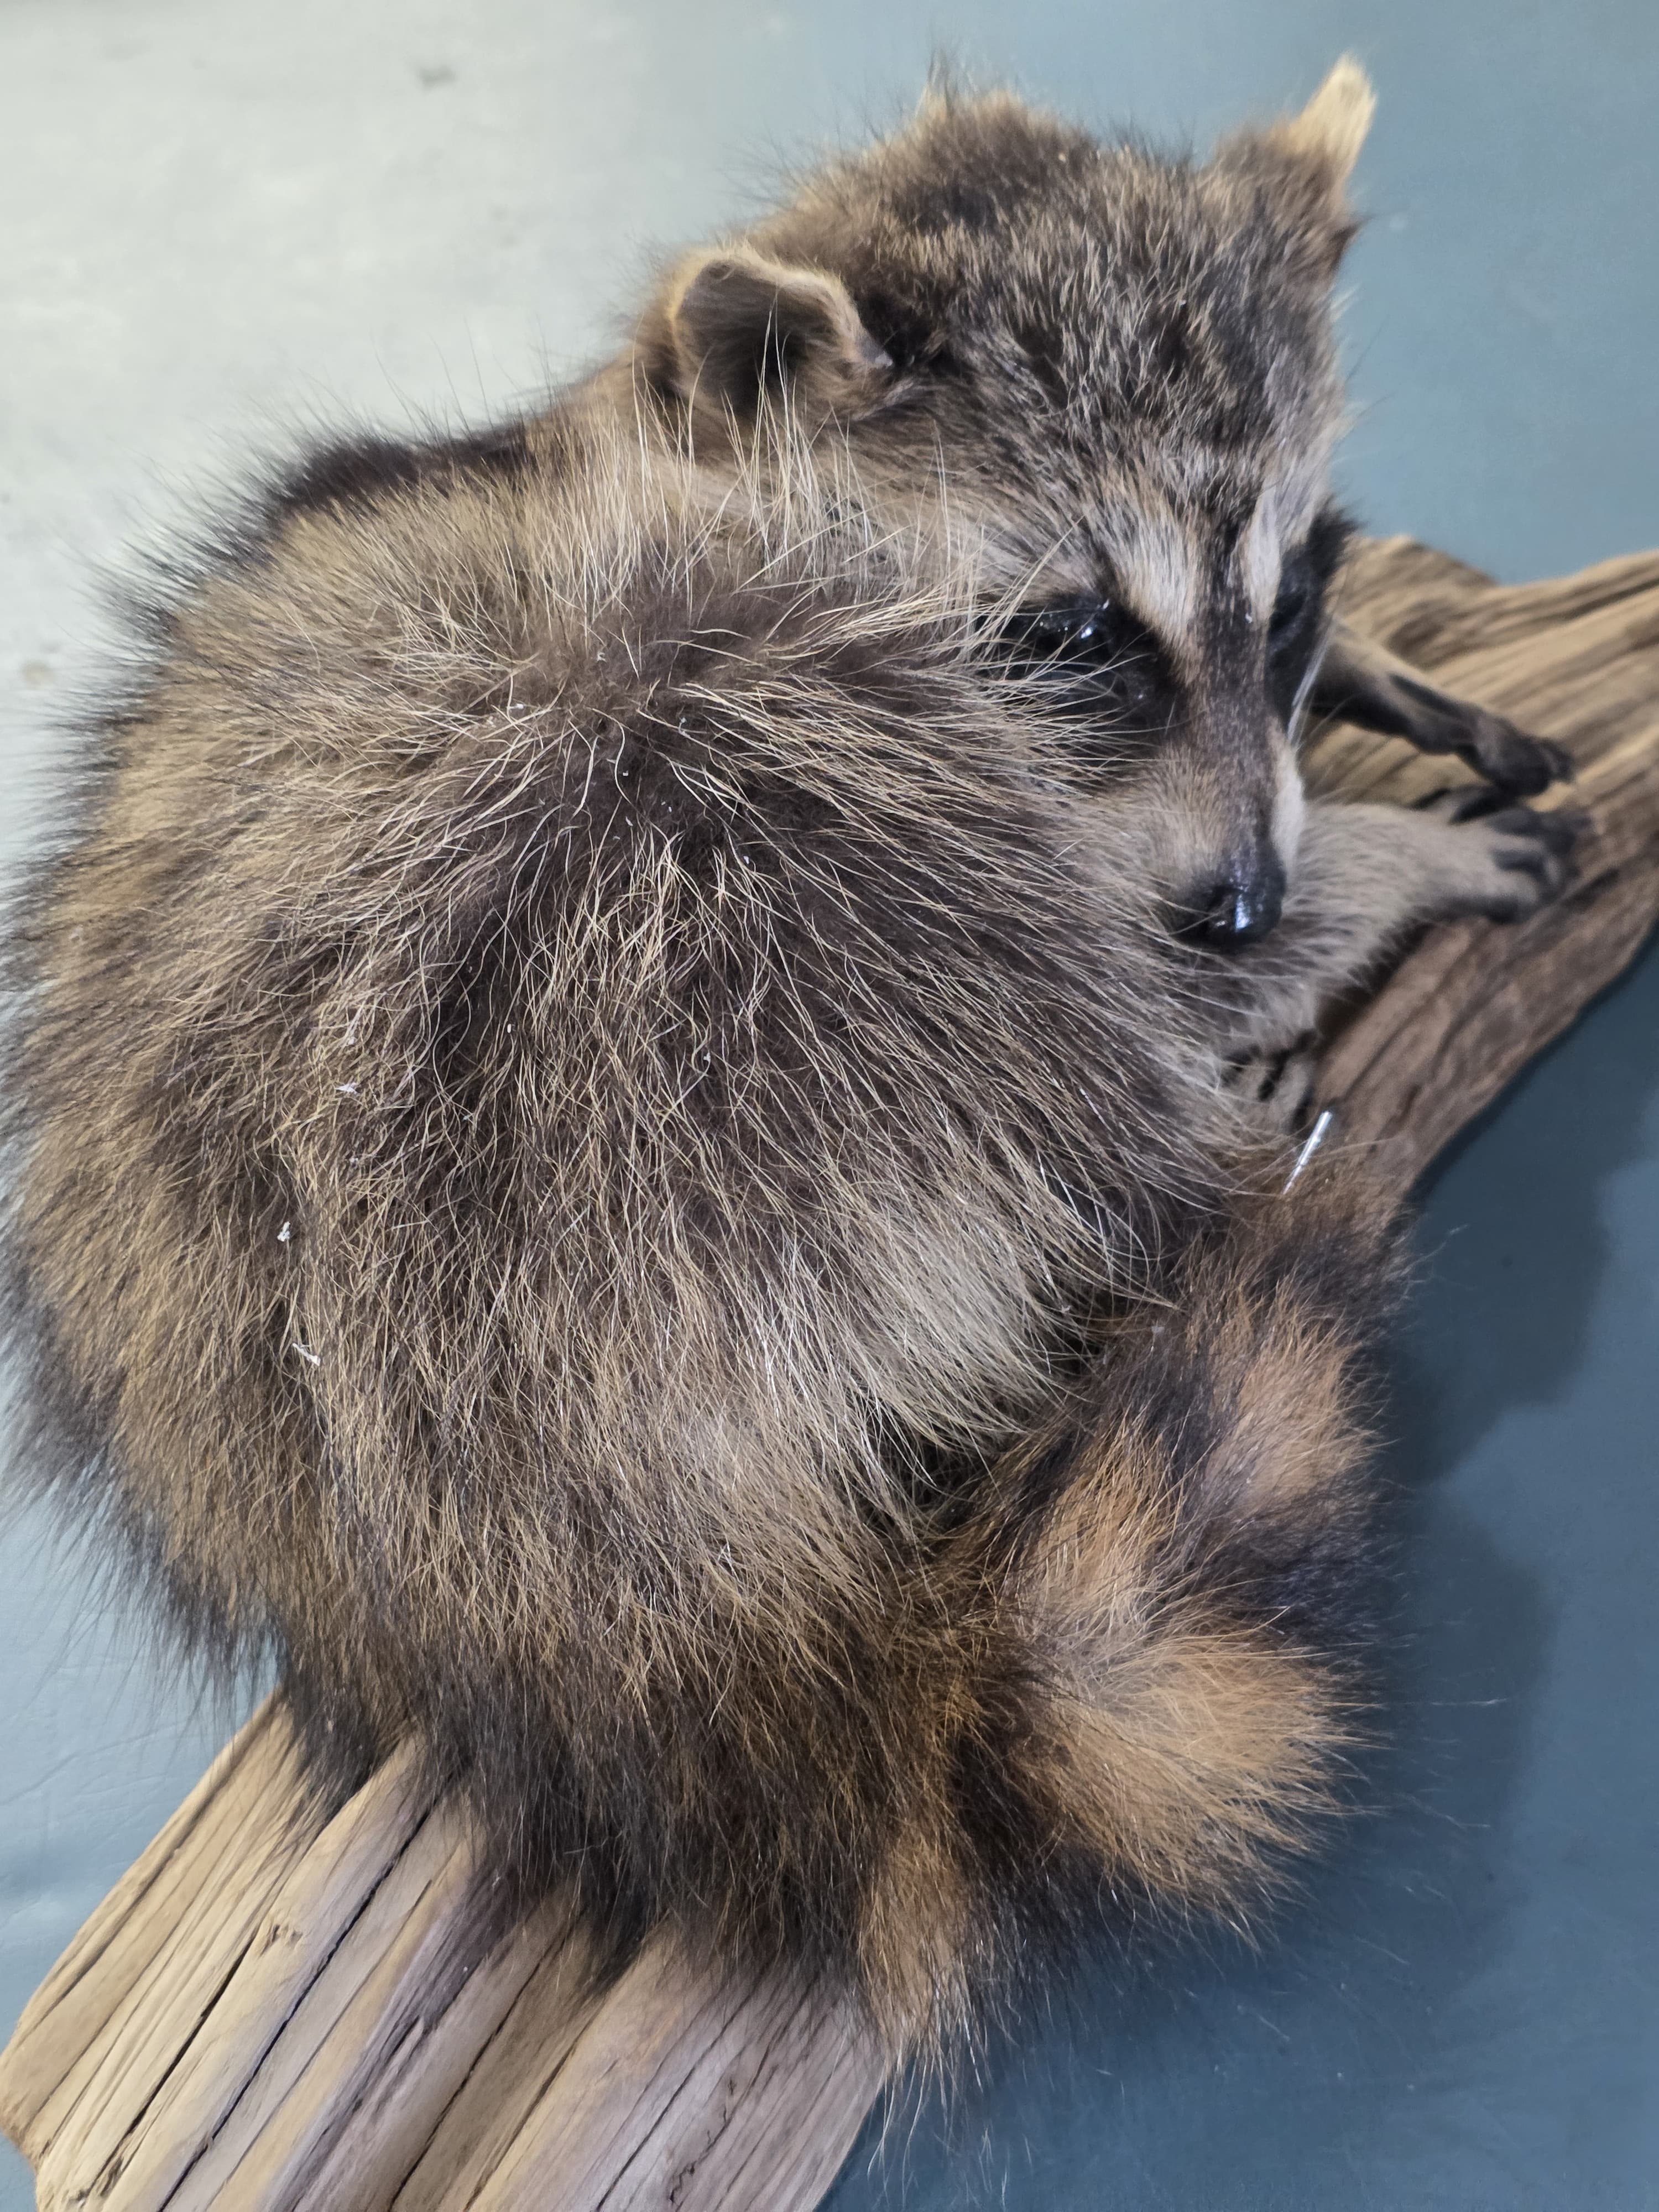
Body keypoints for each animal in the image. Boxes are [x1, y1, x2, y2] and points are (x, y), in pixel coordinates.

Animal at [0, 63, 1576, 2053]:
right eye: (1078, 634)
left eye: (1282, 597)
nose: (1247, 897)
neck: (661, 442)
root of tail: (494, 1579)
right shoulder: (853, 706)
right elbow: (1123, 954)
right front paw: (1363, 880)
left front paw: (1374, 678)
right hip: (643, 892)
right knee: (1035, 1022)